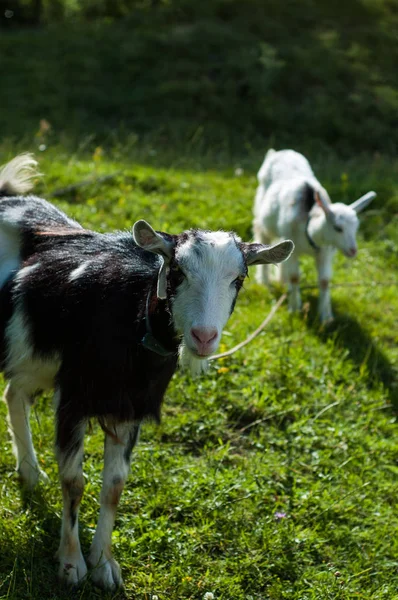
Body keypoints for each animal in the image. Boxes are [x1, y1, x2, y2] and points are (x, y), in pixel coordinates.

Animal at [0, 155, 292, 592]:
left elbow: (114, 487)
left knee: (14, 393)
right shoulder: (74, 398)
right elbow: (75, 481)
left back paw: (31, 474)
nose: (203, 337)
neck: (127, 317)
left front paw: (104, 564)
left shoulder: (130, 406)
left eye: (238, 279)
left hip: (34, 358)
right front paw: (71, 565)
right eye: (177, 272)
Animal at [252, 150, 376, 324]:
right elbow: (295, 277)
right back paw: (264, 281)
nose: (353, 251)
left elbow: (324, 281)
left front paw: (326, 317)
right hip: (262, 217)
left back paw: (282, 280)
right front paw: (294, 308)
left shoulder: (325, 252)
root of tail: (279, 152)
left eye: (356, 227)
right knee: (263, 236)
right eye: (337, 228)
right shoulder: (294, 249)